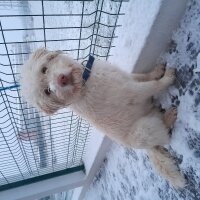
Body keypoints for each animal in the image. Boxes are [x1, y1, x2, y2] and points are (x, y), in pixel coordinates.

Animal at [20, 48, 186, 188]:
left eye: (44, 69)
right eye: (48, 91)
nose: (61, 80)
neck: (84, 83)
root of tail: (148, 148)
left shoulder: (127, 78)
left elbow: (144, 76)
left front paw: (157, 71)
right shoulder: (134, 91)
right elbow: (154, 85)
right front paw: (168, 77)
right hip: (142, 131)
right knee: (165, 134)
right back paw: (169, 117)